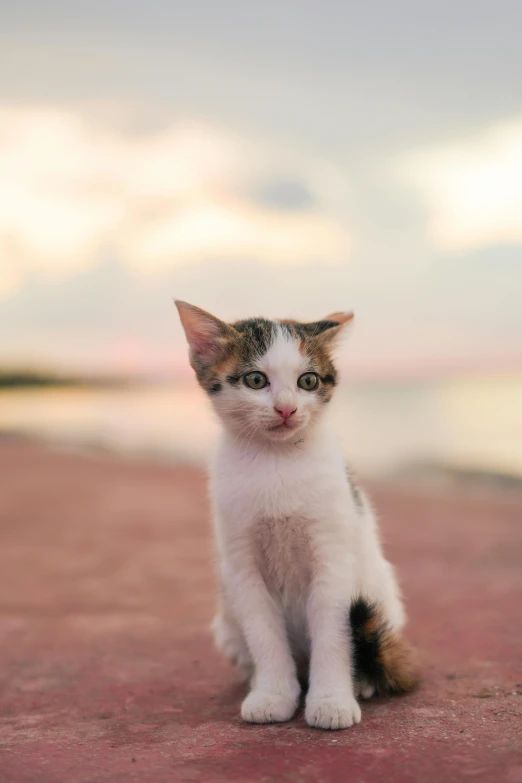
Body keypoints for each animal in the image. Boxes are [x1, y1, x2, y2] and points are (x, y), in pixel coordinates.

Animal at [177, 300, 416, 728]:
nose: (286, 408)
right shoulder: (240, 563)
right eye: (256, 380)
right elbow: (263, 633)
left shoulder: (333, 557)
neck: (277, 460)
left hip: (382, 595)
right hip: (227, 620)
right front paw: (272, 693)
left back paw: (363, 681)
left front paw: (332, 700)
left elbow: (335, 633)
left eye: (308, 381)